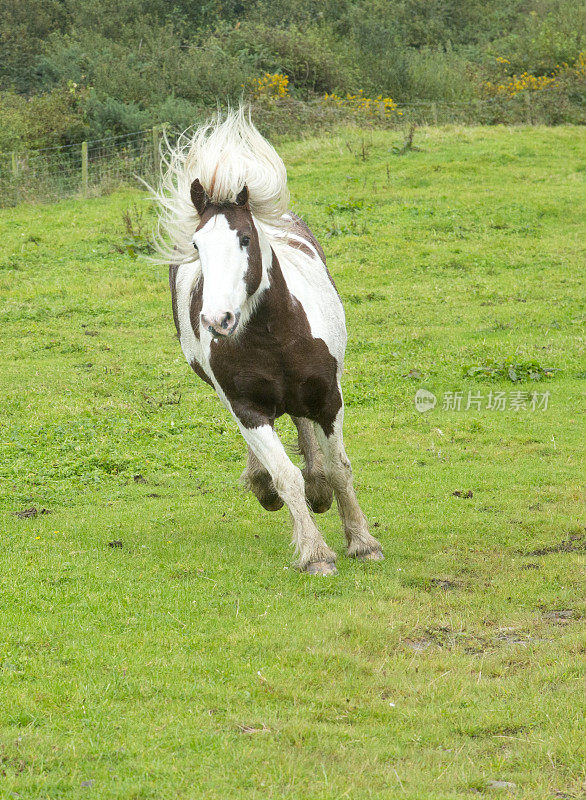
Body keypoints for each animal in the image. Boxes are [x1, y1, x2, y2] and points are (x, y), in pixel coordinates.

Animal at [153, 109, 380, 580]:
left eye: (244, 238)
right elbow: (285, 475)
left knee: (302, 425)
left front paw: (362, 542)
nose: (216, 320)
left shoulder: (329, 397)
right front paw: (315, 553)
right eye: (197, 244)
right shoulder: (247, 407)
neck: (275, 337)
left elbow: (340, 468)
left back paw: (319, 487)